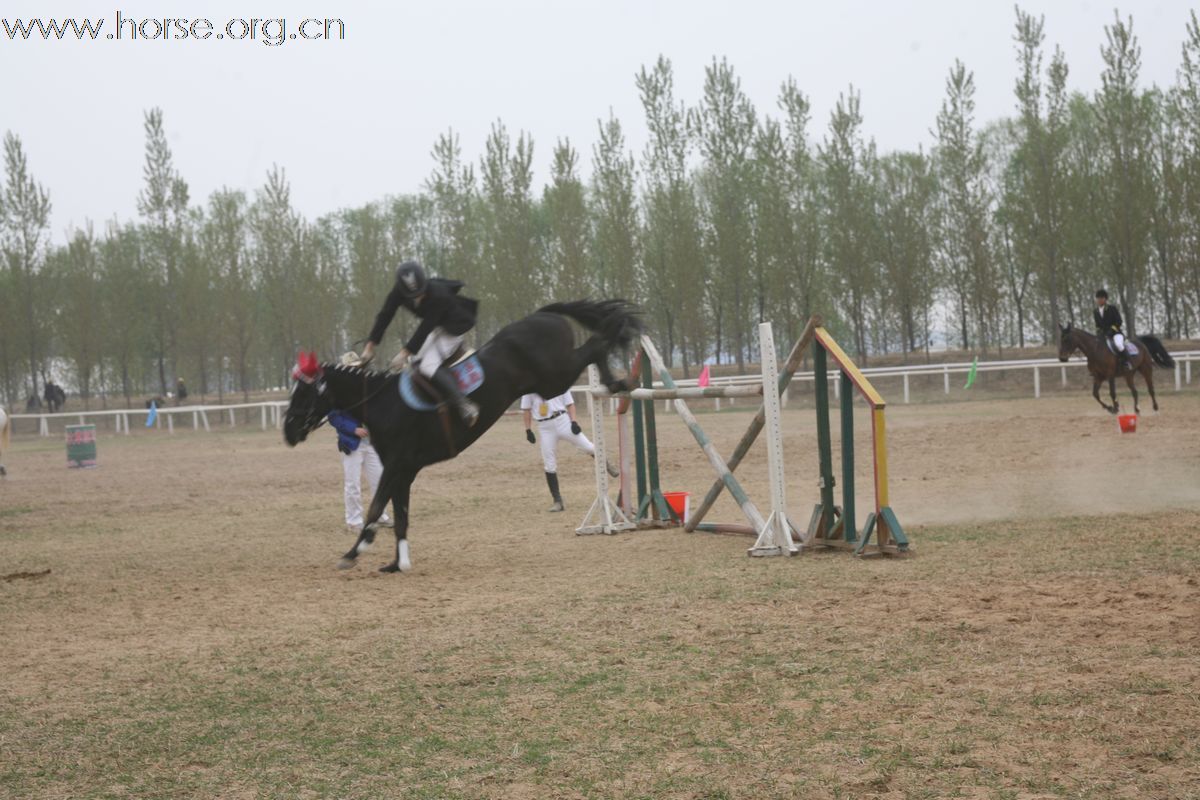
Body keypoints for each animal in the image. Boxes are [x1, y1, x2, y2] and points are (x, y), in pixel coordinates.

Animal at [280, 297, 643, 573]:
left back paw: (618, 380)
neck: (383, 401)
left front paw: (355, 551)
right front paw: (397, 563)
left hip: (556, 376)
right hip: (551, 379)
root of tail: (543, 314)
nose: (288, 432)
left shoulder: (395, 465)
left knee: (597, 346)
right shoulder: (404, 471)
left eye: (304, 393)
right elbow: (400, 515)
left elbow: (375, 508)